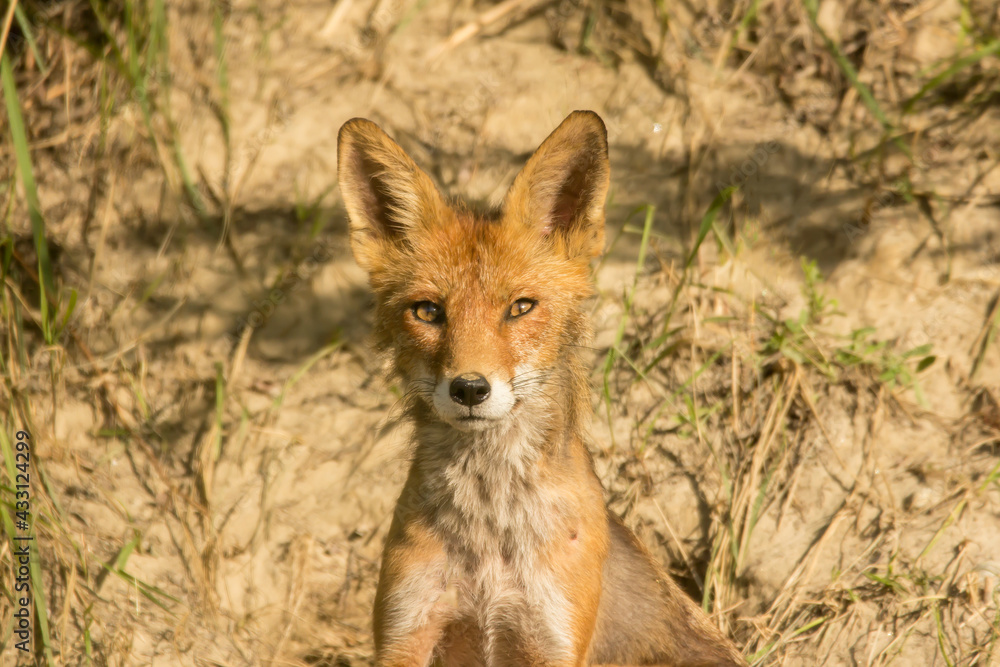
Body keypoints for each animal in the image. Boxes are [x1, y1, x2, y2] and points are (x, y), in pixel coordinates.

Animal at [340, 112, 748, 664]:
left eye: (520, 307)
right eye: (427, 311)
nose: (470, 388)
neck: (489, 535)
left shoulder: (549, 637)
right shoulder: (407, 631)